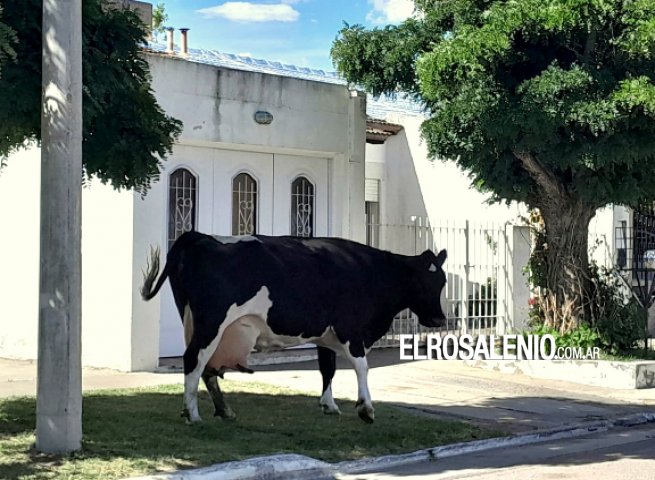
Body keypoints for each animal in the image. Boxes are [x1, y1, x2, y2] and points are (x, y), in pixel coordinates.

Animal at [142, 232, 452, 424]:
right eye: (422, 281)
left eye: (442, 282)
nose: (439, 320)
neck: (371, 272)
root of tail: (195, 236)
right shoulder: (350, 329)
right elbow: (361, 367)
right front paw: (366, 408)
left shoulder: (325, 334)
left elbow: (328, 368)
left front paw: (329, 405)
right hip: (211, 323)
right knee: (194, 359)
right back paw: (192, 413)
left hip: (198, 322)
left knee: (206, 366)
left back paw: (224, 410)